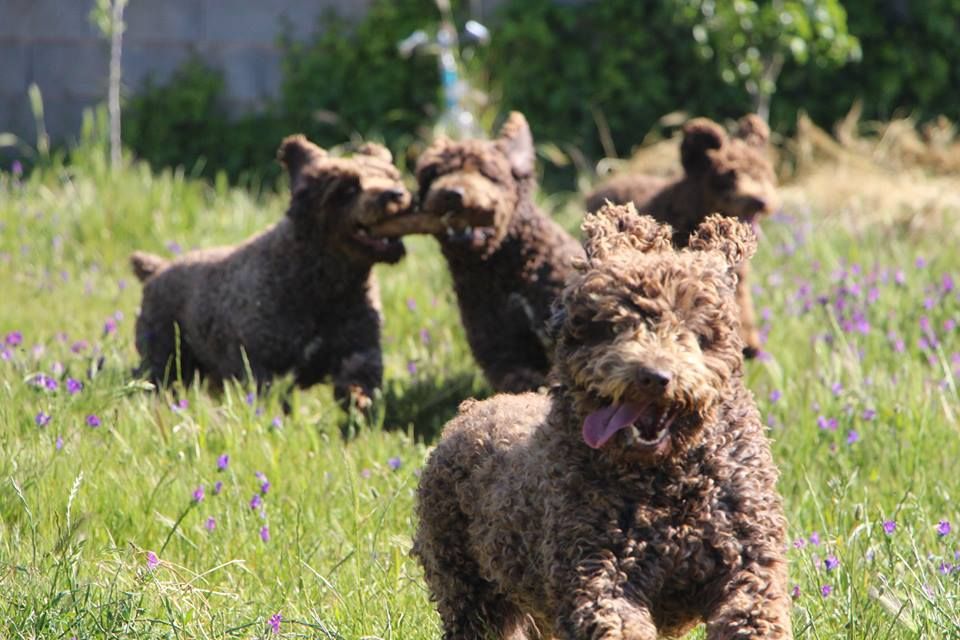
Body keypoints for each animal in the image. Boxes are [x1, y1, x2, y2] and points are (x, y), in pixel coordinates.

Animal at [129, 135, 410, 408]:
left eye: (393, 176)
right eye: (348, 188)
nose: (396, 194)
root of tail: (157, 269)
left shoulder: (359, 349)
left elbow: (359, 375)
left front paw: (359, 400)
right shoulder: (260, 366)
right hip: (165, 359)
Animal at [376, 112, 584, 392]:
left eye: (486, 172)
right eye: (435, 174)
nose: (452, 194)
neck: (501, 266)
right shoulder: (497, 342)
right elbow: (516, 375)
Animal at [416, 205, 792, 640]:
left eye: (696, 333)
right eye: (612, 326)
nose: (654, 376)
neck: (667, 482)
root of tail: (468, 412)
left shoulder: (746, 560)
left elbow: (753, 611)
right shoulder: (597, 570)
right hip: (470, 588)